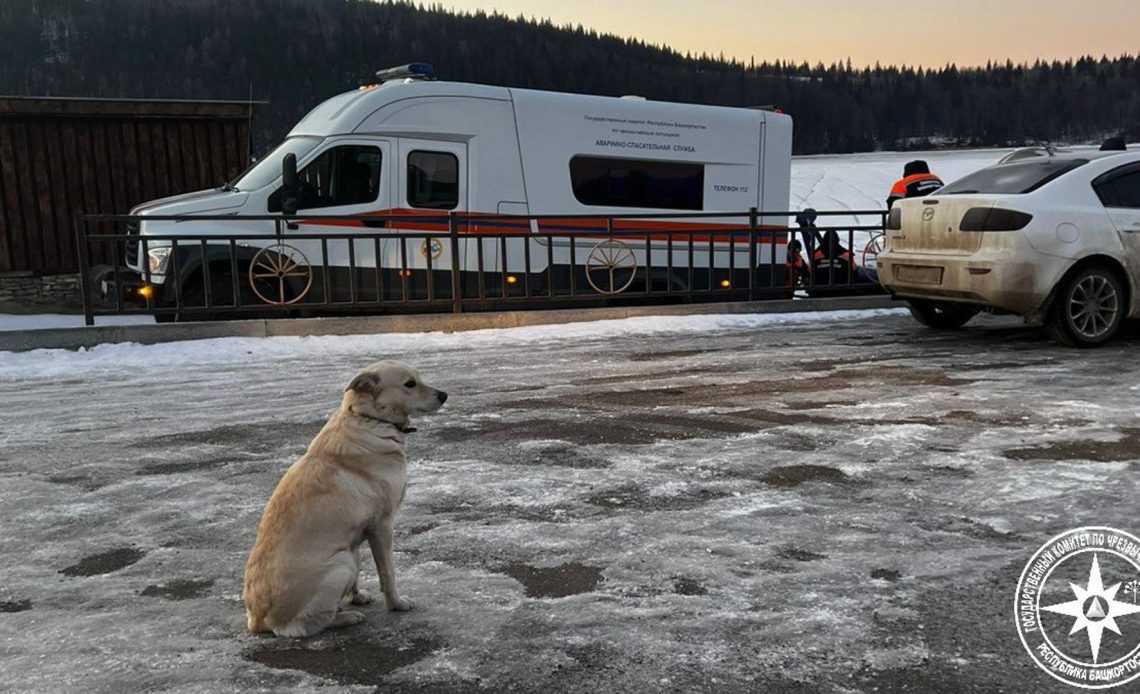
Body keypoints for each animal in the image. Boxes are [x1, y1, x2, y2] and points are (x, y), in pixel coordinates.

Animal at [242, 360, 446, 638]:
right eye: (410, 384)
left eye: (419, 379)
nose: (444, 395)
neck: (369, 419)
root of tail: (257, 620)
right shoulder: (382, 526)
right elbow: (388, 573)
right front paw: (396, 603)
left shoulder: (356, 534)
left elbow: (362, 573)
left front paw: (356, 597)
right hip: (341, 564)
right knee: (303, 625)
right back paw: (346, 617)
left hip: (346, 555)